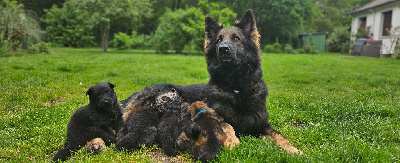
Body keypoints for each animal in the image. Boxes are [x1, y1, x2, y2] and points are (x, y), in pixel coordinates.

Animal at [177, 9, 302, 155]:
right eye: (219, 40)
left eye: (236, 38)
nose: (223, 48)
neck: (236, 84)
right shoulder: (217, 117)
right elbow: (228, 126)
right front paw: (232, 142)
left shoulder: (263, 124)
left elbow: (280, 136)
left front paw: (294, 150)